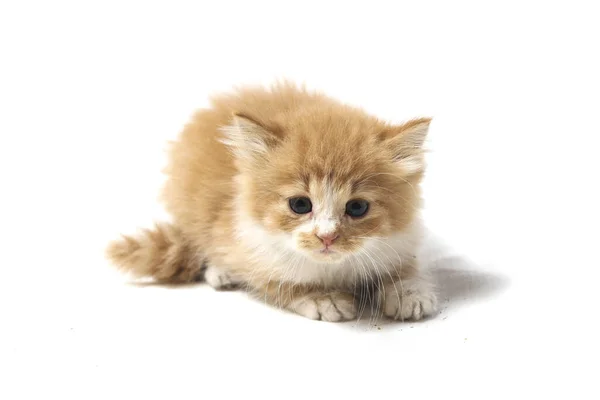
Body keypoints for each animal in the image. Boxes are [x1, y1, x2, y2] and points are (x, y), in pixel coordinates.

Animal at [106, 81, 436, 322]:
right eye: (300, 205)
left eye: (357, 208)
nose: (327, 237)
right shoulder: (244, 243)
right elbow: (282, 284)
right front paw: (323, 297)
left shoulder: (399, 241)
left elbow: (403, 269)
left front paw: (408, 292)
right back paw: (221, 272)